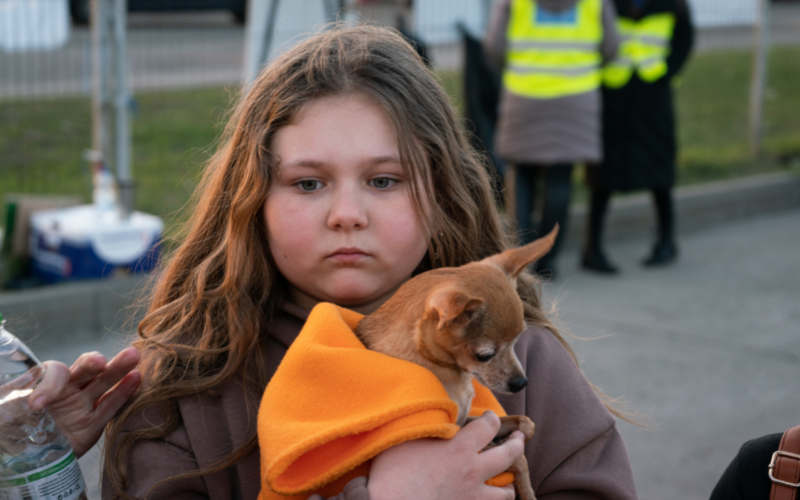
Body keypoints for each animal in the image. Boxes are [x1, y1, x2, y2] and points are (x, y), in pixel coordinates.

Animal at [354, 226, 560, 500]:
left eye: (517, 342)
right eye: (484, 355)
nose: (521, 382)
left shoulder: (467, 421)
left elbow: (525, 423)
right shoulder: (455, 440)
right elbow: (515, 458)